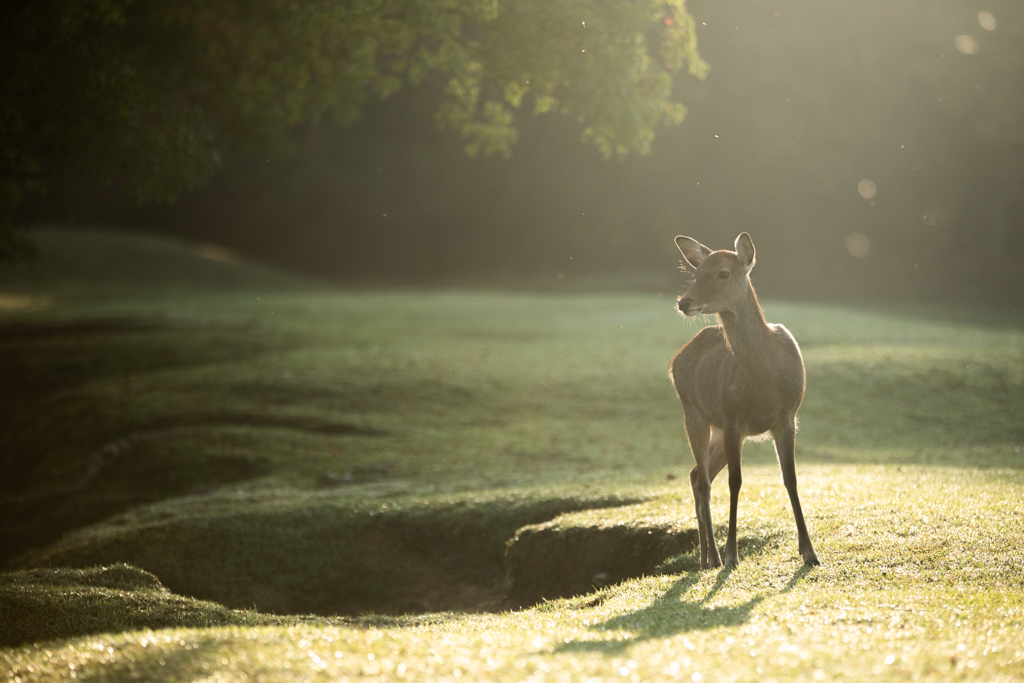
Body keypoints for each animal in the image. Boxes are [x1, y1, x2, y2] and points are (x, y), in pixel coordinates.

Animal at [667, 232, 819, 569]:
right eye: (696, 273)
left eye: (723, 273)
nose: (684, 302)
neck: (767, 382)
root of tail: (675, 359)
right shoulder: (733, 419)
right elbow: (735, 482)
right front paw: (731, 553)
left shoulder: (787, 417)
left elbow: (791, 479)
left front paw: (810, 553)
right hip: (693, 413)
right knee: (704, 481)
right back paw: (712, 557)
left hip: (716, 429)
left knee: (696, 475)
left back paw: (704, 557)